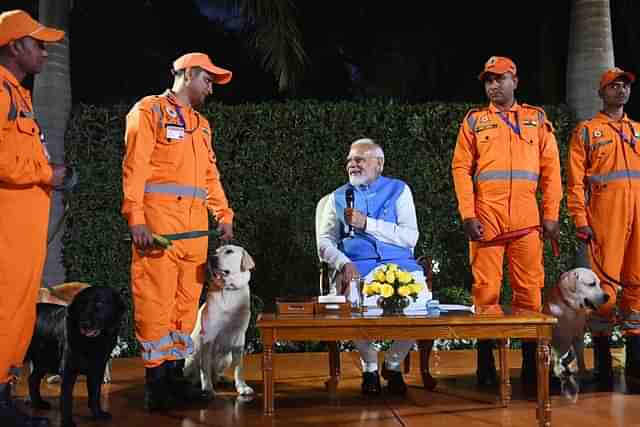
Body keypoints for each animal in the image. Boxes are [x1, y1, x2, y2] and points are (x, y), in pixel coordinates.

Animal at [26, 286, 126, 427]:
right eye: (82, 305)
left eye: (100, 304)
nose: (85, 323)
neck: (92, 342)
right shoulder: (68, 370)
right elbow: (67, 398)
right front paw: (67, 422)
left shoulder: (98, 368)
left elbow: (95, 394)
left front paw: (98, 415)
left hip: (44, 360)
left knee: (32, 379)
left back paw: (39, 404)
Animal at [182, 246, 255, 396]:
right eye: (215, 252)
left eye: (229, 251)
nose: (211, 258)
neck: (229, 290)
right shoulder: (208, 337)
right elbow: (204, 368)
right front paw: (207, 388)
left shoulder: (240, 336)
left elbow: (239, 367)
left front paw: (242, 386)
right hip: (192, 358)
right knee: (194, 374)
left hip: (226, 358)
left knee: (216, 373)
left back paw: (221, 378)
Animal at [544, 270, 608, 402]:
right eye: (591, 284)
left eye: (599, 284)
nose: (607, 296)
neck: (570, 309)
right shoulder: (553, 339)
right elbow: (555, 356)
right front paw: (558, 371)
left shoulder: (578, 337)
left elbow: (581, 358)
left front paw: (583, 373)